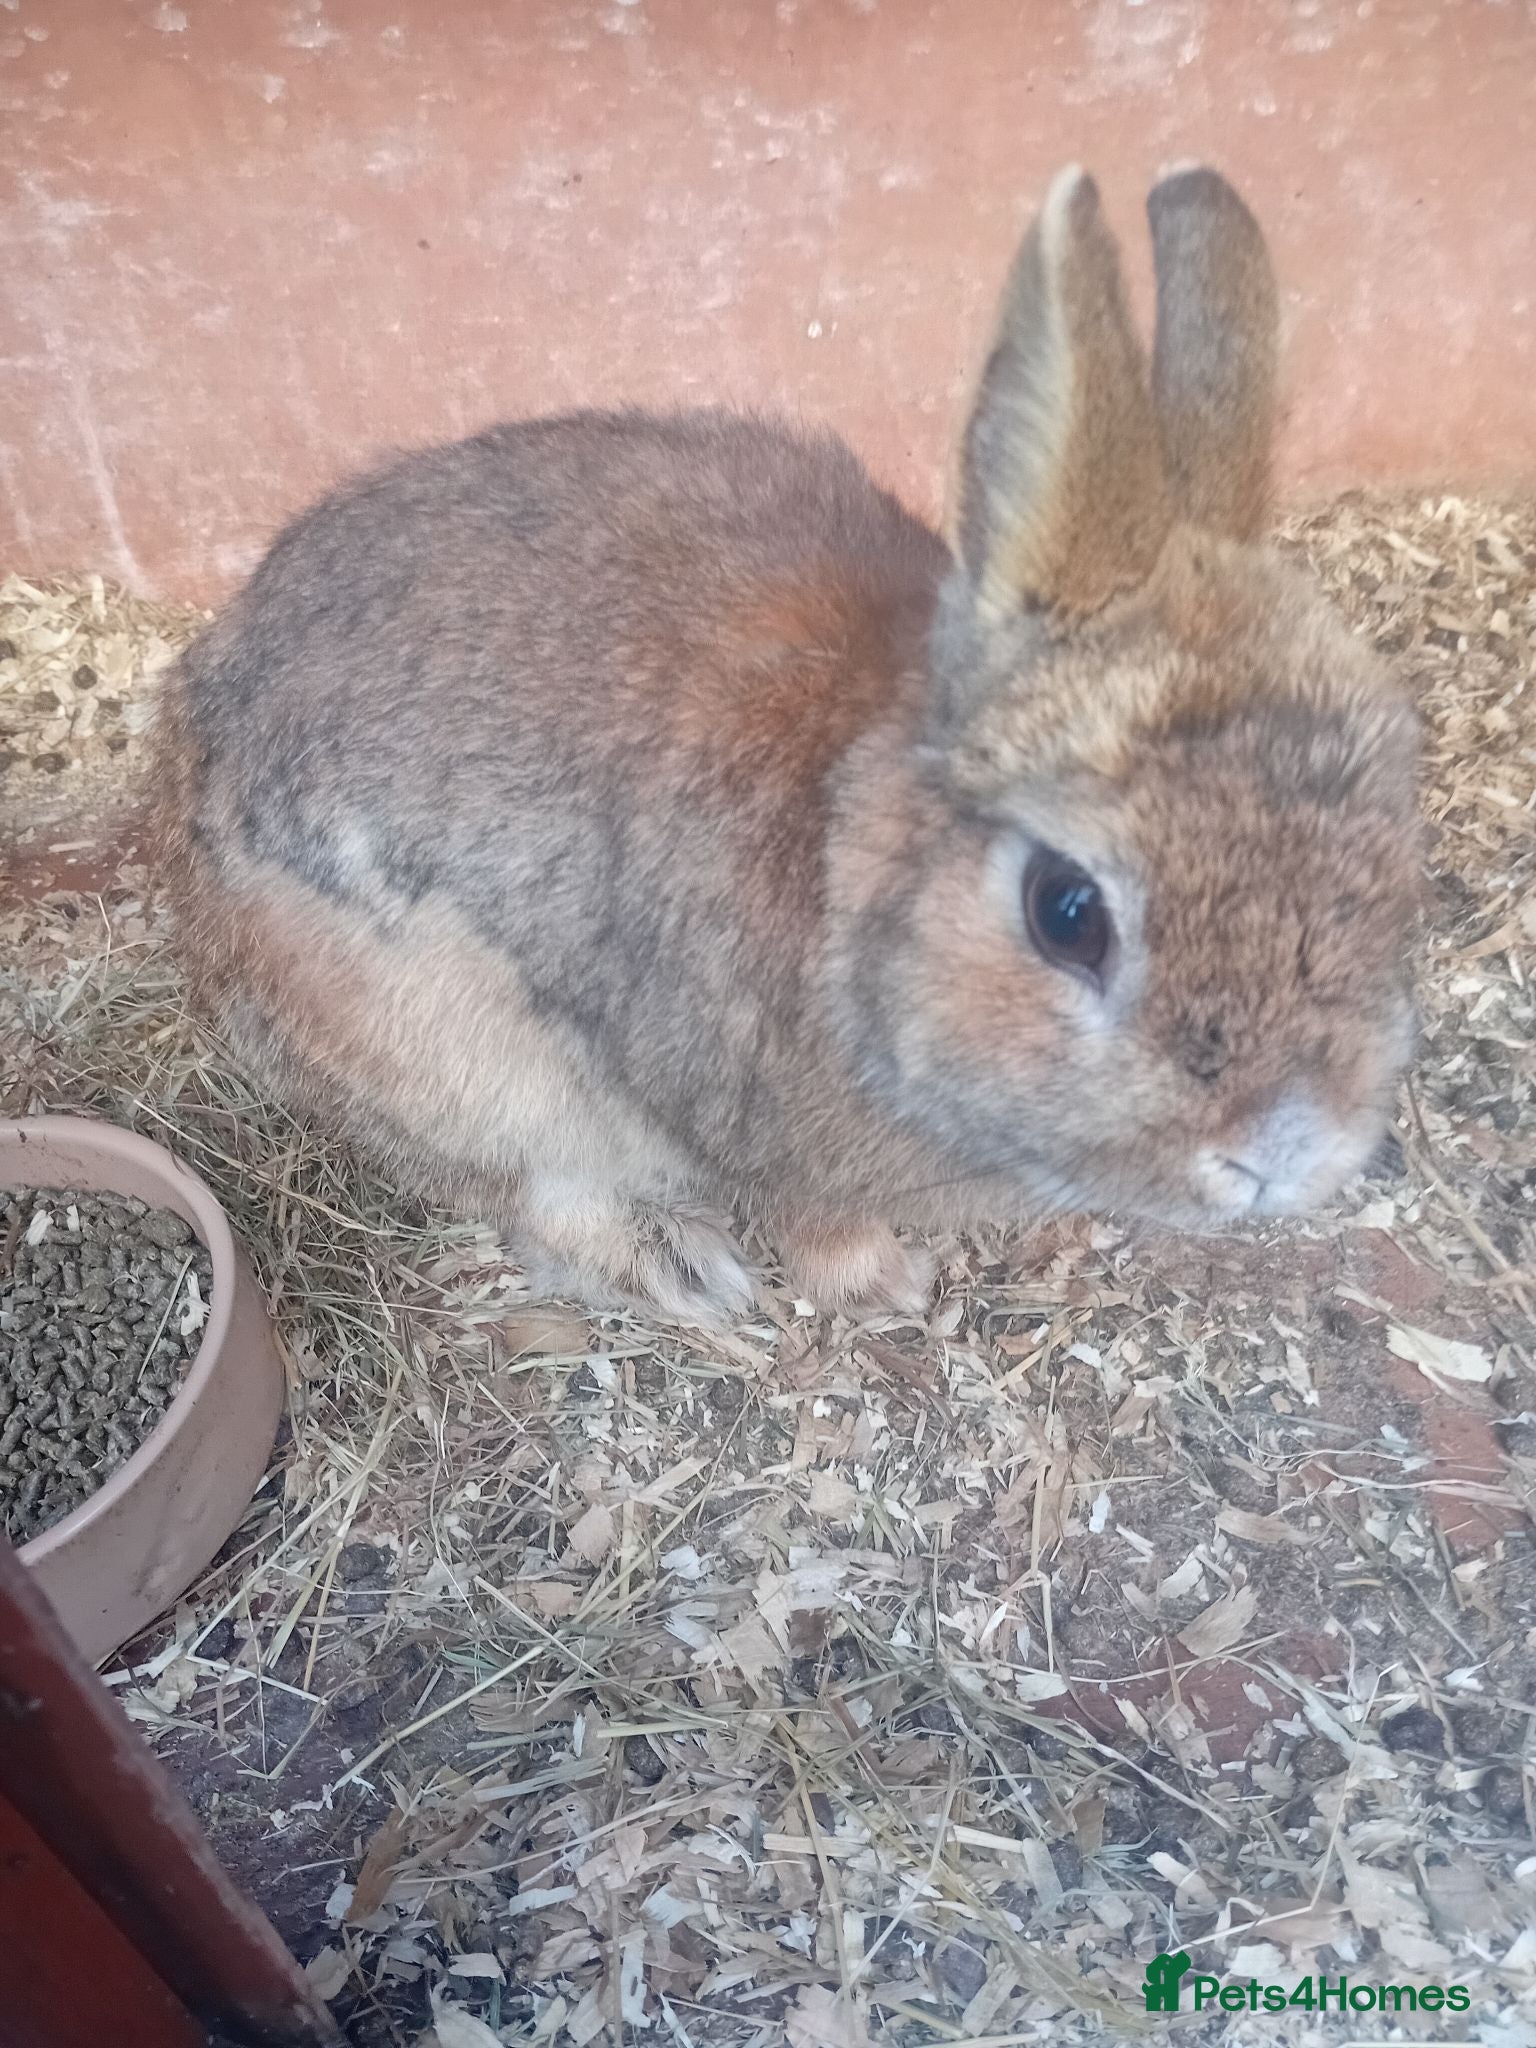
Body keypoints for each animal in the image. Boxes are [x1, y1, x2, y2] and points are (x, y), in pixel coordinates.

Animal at [153, 165, 1420, 1325]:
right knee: (533, 1193)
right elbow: (811, 1221)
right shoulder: (757, 1128)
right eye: (1068, 911)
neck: (854, 860)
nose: (1287, 1154)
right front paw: (888, 1285)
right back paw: (683, 1265)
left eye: (1396, 841)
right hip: (463, 1070)